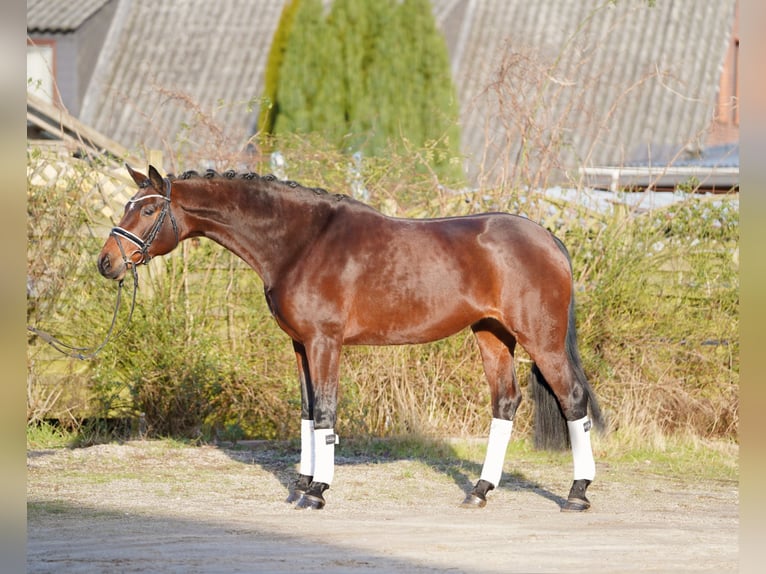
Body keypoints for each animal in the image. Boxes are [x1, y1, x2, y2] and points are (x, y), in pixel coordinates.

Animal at [99, 165, 608, 512]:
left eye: (148, 208)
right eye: (127, 205)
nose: (106, 263)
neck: (300, 242)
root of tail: (546, 237)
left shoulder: (324, 342)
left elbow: (326, 412)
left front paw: (317, 491)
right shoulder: (300, 344)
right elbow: (307, 413)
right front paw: (301, 485)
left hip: (540, 339)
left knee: (573, 400)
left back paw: (577, 493)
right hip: (491, 334)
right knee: (505, 402)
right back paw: (480, 491)